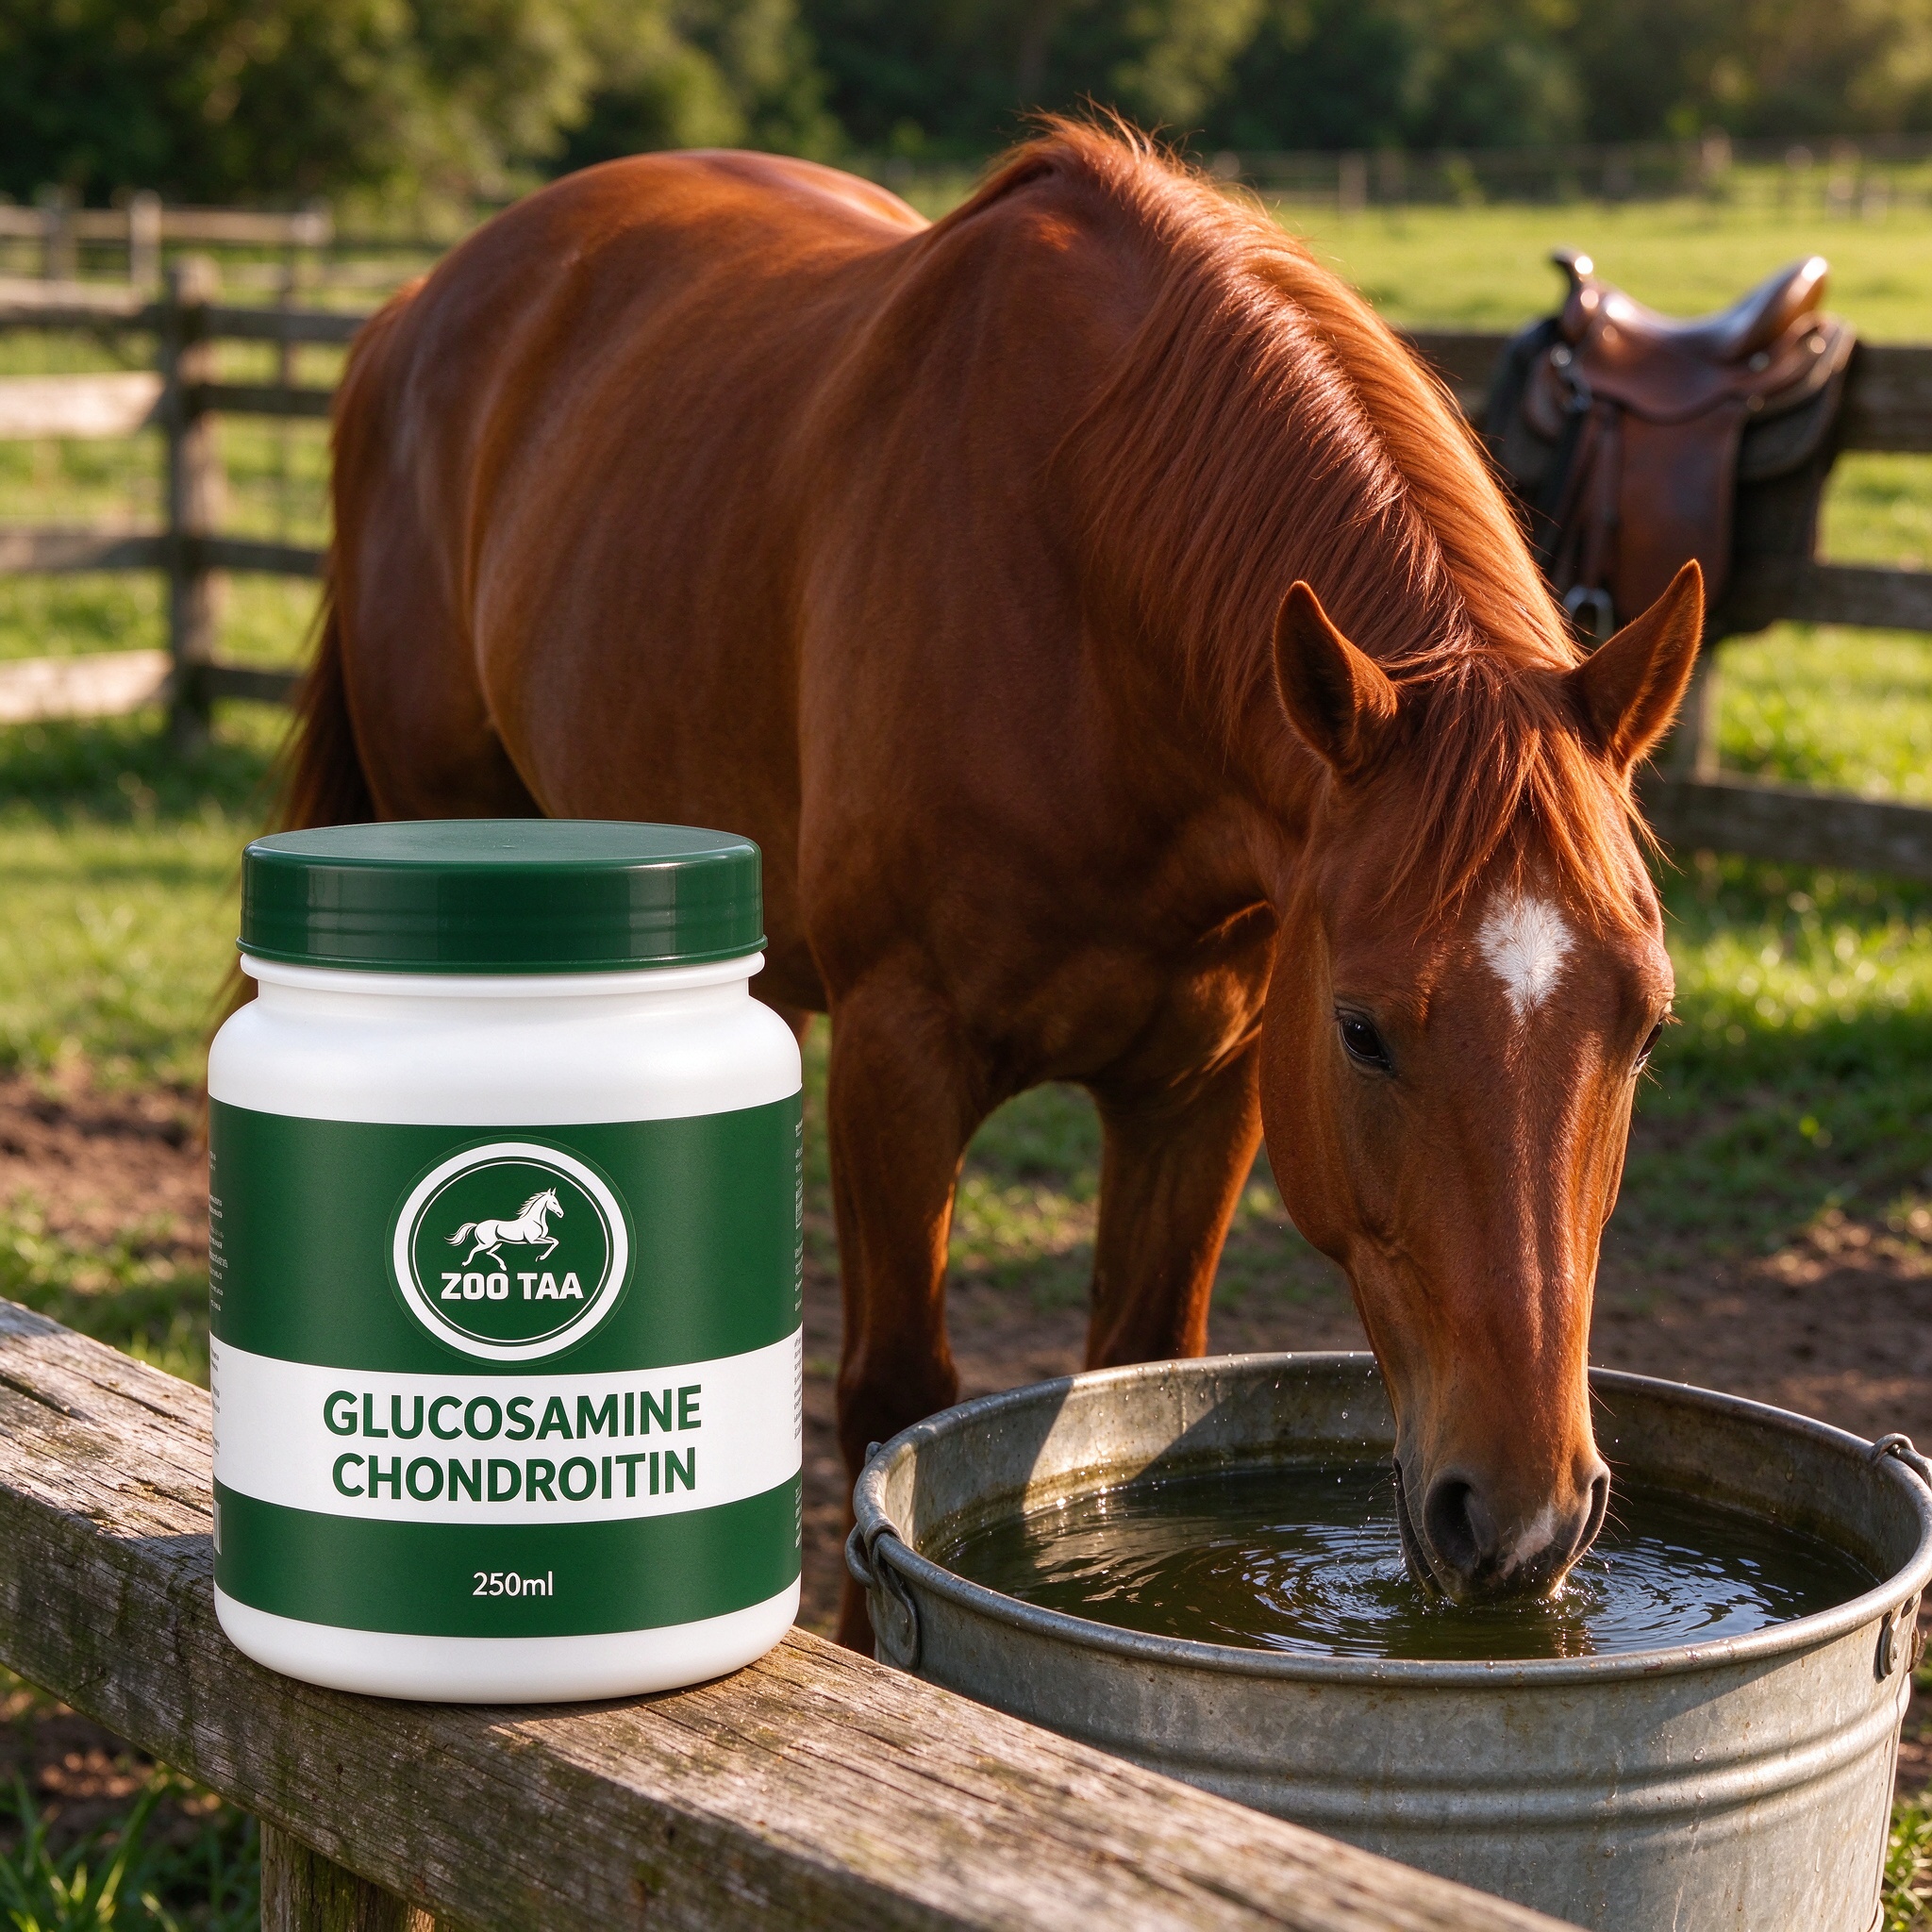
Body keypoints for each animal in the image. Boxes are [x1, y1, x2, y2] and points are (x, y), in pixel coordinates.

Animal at [290, 119, 1699, 1648]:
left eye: (1644, 1028)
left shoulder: (1201, 1088)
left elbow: (1140, 1362)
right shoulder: (902, 1058)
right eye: (1364, 1031)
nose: (1521, 1521)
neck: (1086, 602)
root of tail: (419, 309)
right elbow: (891, 1401)